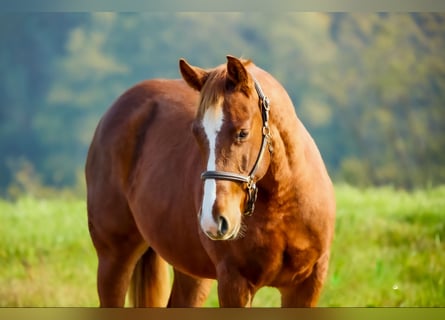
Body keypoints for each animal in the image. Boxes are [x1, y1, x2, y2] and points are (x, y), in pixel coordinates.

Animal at [85, 55, 334, 308]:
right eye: (196, 133)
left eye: (242, 132)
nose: (214, 220)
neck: (283, 204)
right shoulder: (234, 283)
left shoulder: (307, 285)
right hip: (114, 257)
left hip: (191, 272)